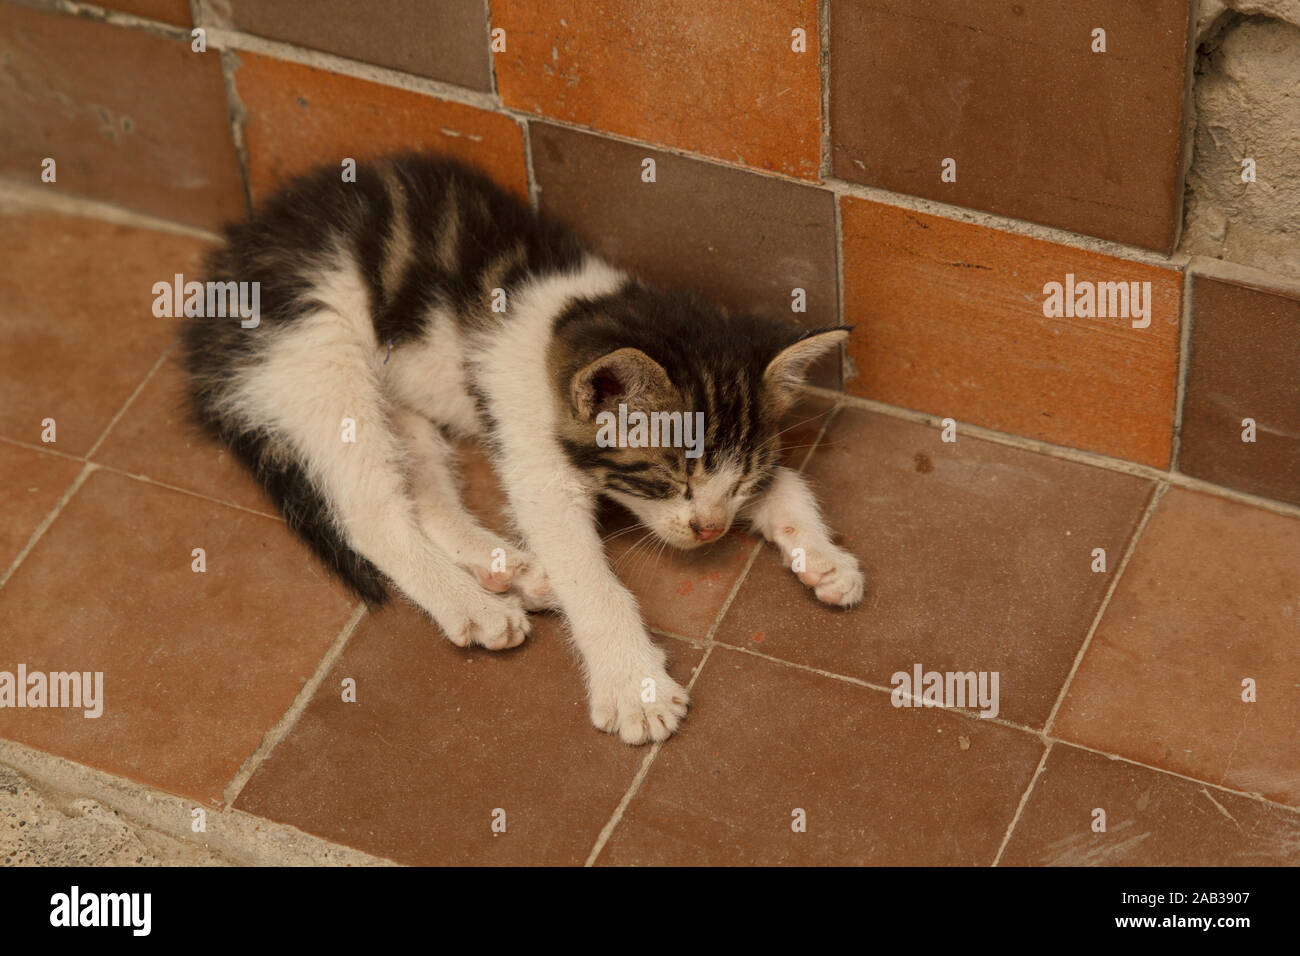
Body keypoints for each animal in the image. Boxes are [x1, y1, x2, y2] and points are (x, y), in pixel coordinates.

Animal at [175, 153, 863, 743]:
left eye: (740, 481)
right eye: (671, 478)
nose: (711, 530)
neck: (570, 323)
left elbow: (789, 481)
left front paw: (823, 558)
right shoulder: (537, 461)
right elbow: (591, 577)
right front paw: (634, 687)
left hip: (392, 400)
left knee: (422, 488)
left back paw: (514, 571)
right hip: (317, 346)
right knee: (370, 514)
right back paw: (473, 604)